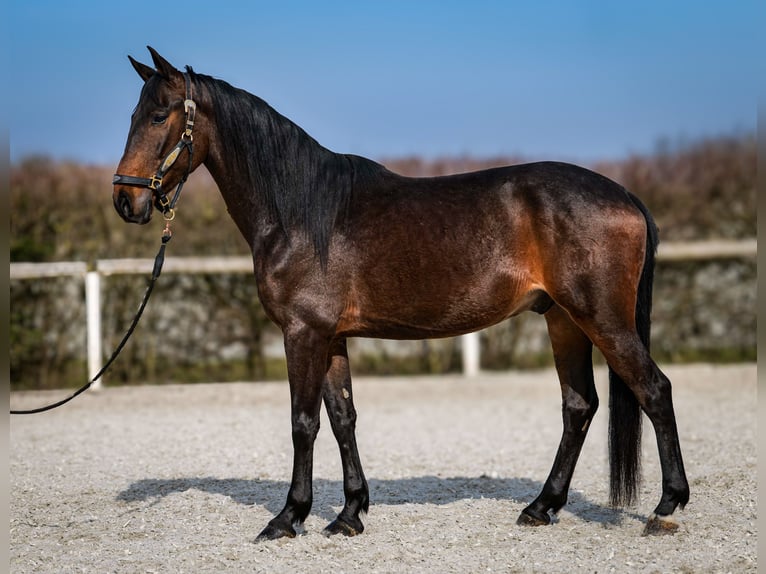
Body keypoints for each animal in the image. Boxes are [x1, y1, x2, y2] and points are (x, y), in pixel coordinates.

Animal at [112, 47, 688, 544]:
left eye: (160, 115)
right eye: (134, 113)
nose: (125, 200)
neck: (299, 211)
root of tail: (624, 194)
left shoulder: (303, 333)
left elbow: (303, 423)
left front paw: (288, 517)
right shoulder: (331, 337)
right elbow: (342, 418)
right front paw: (348, 514)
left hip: (601, 318)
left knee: (654, 390)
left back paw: (666, 507)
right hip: (564, 319)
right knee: (579, 405)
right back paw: (541, 506)